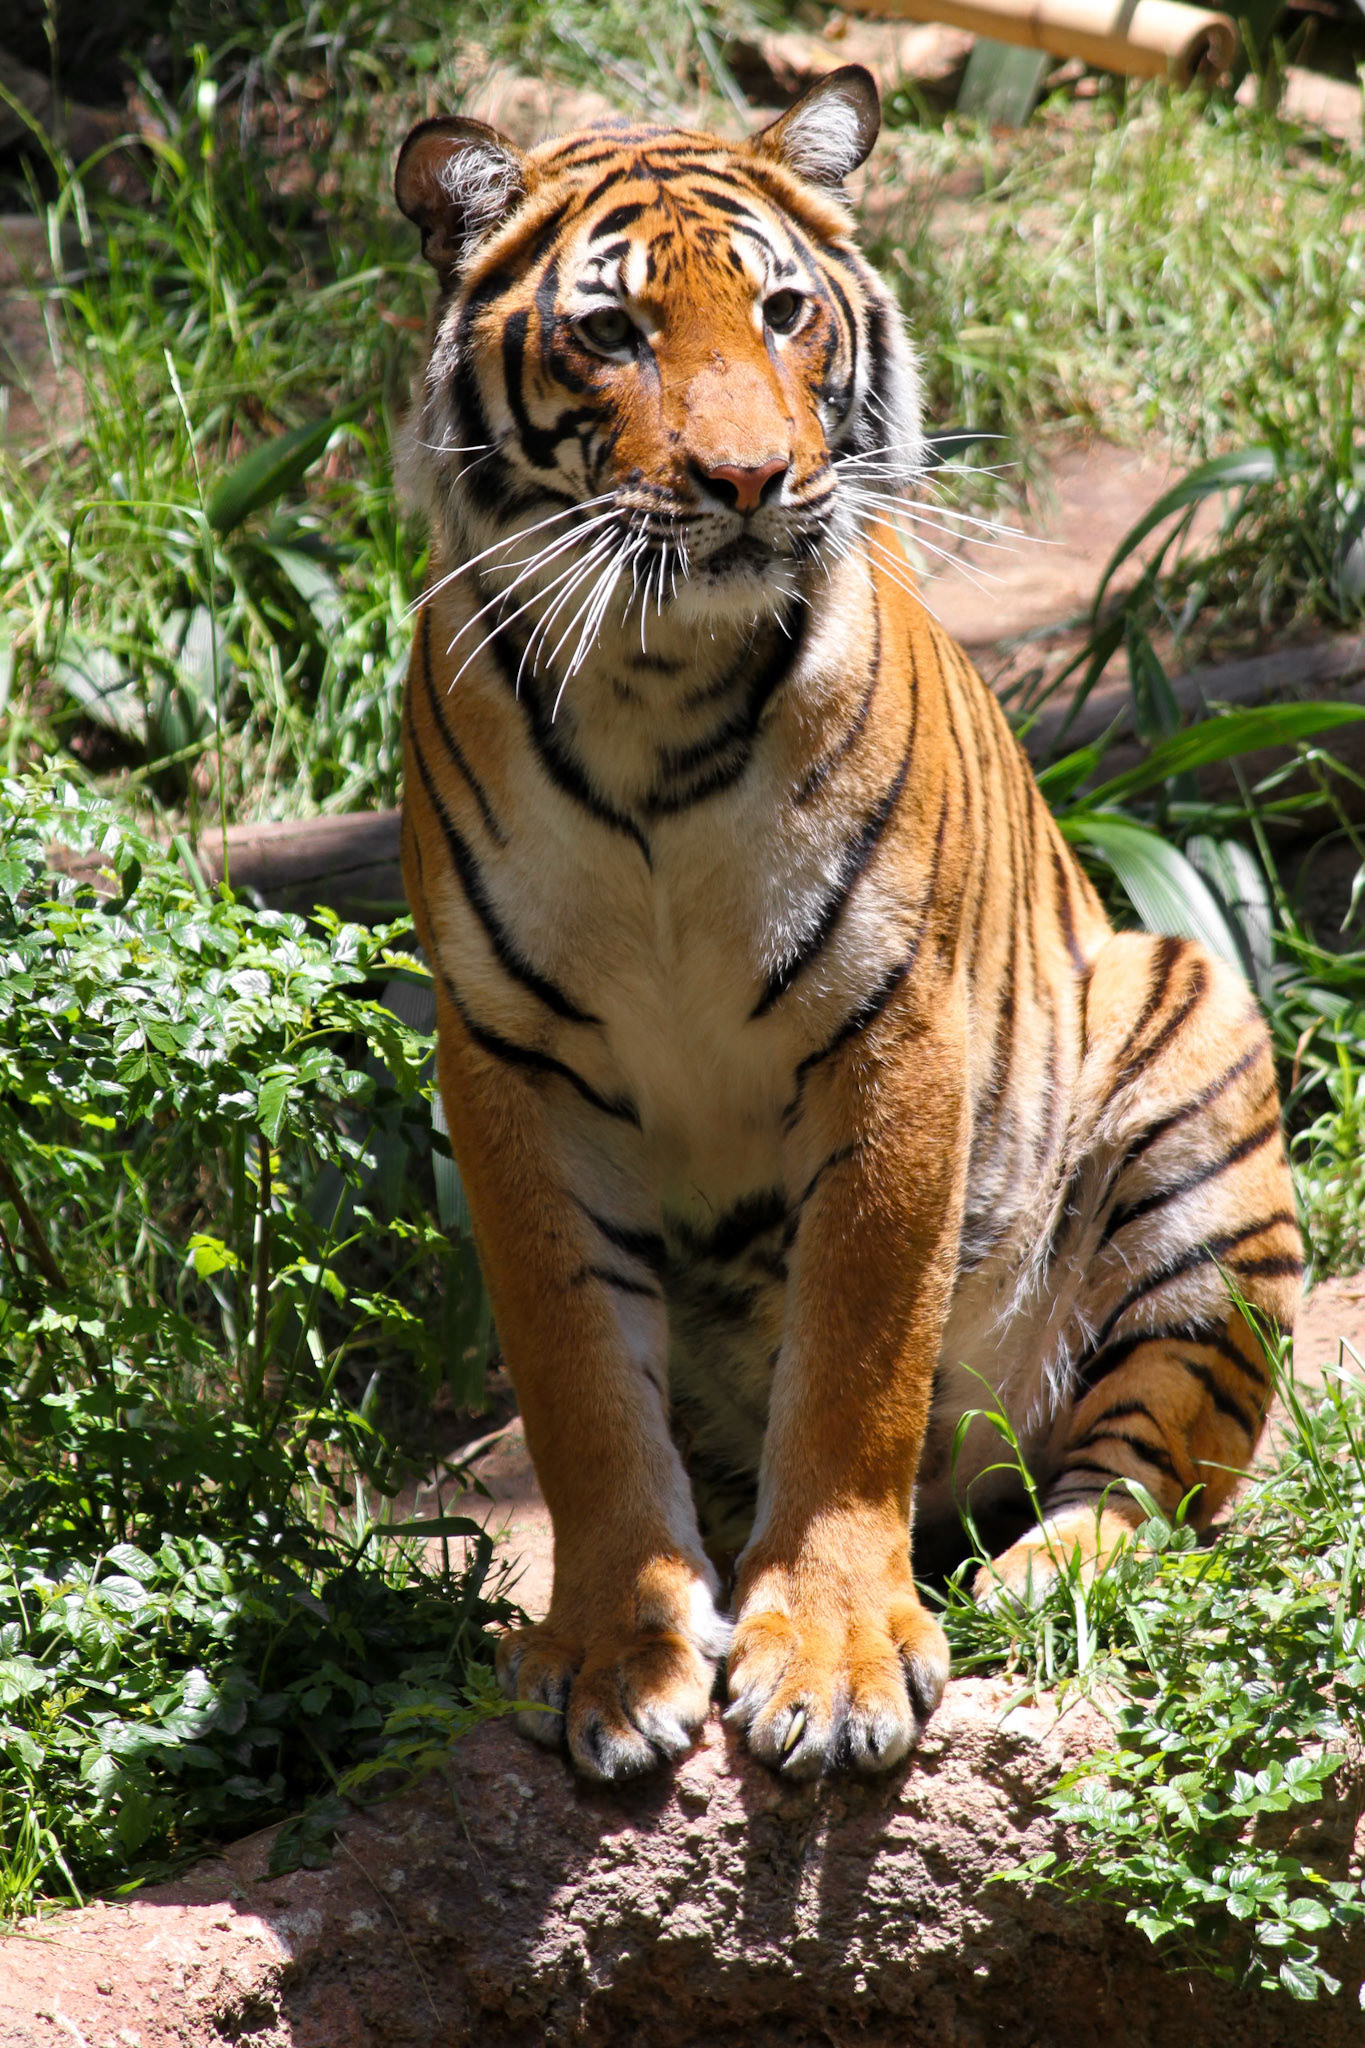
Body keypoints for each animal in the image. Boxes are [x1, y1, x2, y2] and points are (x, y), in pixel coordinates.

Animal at [393, 65, 1303, 1783]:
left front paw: (827, 1661)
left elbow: (854, 1362)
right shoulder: (510, 1066)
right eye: (610, 332)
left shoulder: (894, 1029)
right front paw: (618, 1651)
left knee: (1152, 1476)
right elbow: (579, 1384)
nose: (750, 482)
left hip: (1194, 1068)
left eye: (783, 310)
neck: (657, 695)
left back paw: (1030, 1579)